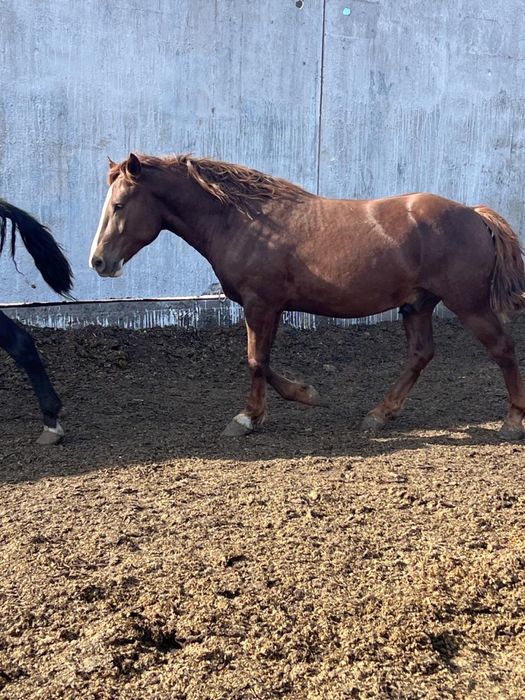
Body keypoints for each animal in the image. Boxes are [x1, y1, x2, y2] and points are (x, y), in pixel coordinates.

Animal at [89, 153, 525, 440]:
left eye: (120, 204)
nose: (98, 261)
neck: (245, 222)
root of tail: (475, 214)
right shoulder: (270, 307)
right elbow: (262, 361)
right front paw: (305, 394)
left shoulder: (261, 304)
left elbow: (255, 360)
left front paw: (247, 418)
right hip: (417, 304)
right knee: (420, 355)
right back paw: (379, 414)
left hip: (469, 304)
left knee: (502, 349)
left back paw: (512, 421)